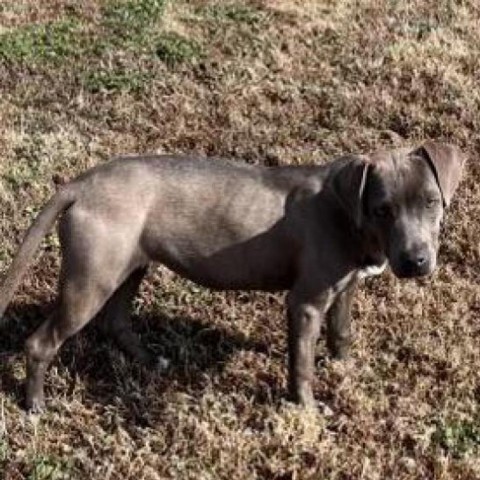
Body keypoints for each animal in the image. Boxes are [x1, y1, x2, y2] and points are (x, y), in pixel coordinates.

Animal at [0, 141, 464, 410]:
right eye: (382, 209)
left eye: (431, 201)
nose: (416, 261)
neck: (348, 216)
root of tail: (80, 184)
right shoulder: (305, 302)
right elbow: (302, 365)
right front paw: (308, 412)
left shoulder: (344, 290)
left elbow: (342, 335)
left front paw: (345, 372)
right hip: (90, 281)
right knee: (41, 343)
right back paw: (36, 406)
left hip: (129, 266)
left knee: (116, 322)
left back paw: (153, 362)